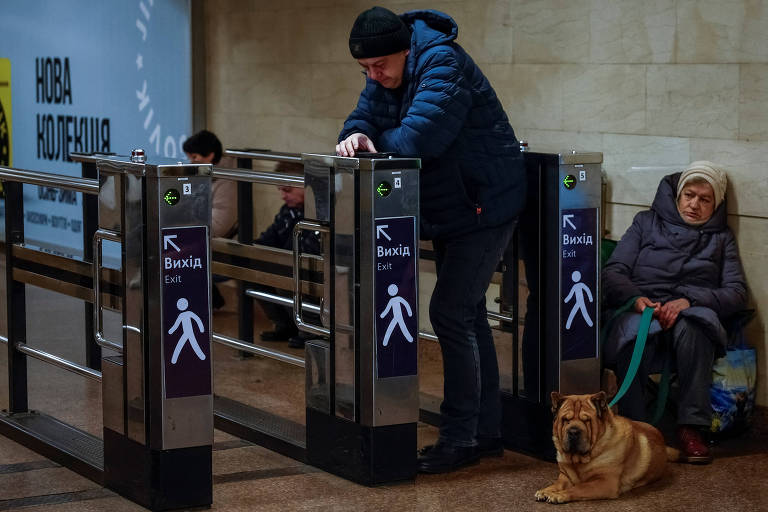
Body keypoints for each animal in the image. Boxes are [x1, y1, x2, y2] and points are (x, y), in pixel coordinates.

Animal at [536, 392, 680, 504]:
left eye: (587, 420)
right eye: (566, 420)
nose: (573, 431)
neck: (580, 461)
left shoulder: (605, 482)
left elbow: (579, 487)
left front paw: (558, 495)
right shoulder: (565, 476)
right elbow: (558, 484)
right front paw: (545, 491)